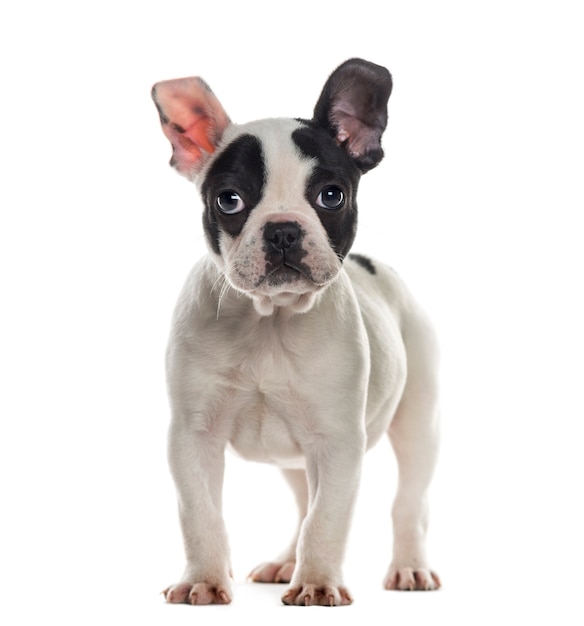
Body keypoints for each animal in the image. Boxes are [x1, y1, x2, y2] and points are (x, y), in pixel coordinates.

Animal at [153, 57, 440, 604]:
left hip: (418, 422)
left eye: (332, 195)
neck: (270, 321)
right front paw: (203, 579)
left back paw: (409, 568)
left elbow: (326, 518)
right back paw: (286, 562)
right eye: (228, 200)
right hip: (293, 458)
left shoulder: (338, 442)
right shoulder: (193, 437)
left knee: (408, 503)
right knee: (303, 496)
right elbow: (199, 513)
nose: (283, 229)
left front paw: (318, 583)